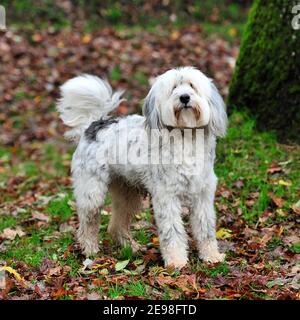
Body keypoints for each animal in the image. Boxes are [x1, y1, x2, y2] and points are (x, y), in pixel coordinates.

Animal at [57, 66, 227, 268]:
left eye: (192, 86)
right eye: (174, 88)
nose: (184, 97)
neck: (185, 136)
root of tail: (94, 124)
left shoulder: (203, 195)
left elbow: (206, 228)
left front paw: (211, 255)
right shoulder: (166, 196)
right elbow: (172, 231)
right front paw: (176, 260)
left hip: (128, 193)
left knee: (116, 224)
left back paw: (130, 247)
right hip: (92, 193)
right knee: (87, 223)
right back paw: (90, 249)